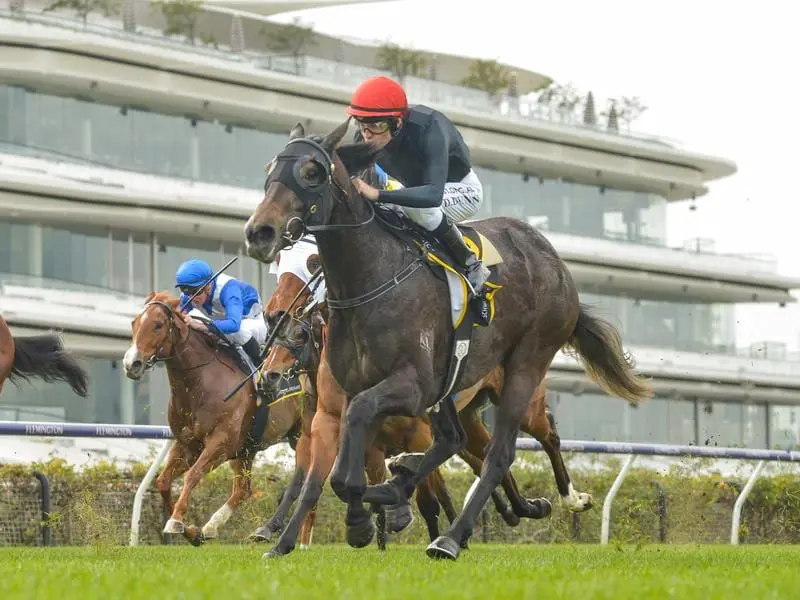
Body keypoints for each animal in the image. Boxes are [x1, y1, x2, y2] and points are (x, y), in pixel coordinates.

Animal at [122, 292, 312, 548]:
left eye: (158, 325)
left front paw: (176, 522)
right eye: (134, 323)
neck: (201, 383)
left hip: (301, 434)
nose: (131, 364)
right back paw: (212, 526)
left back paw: (303, 541)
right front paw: (191, 532)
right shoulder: (188, 444)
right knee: (242, 490)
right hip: (247, 449)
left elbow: (193, 475)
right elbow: (163, 481)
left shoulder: (222, 442)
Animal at [250, 264, 592, 560]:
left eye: (298, 333)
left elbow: (425, 496)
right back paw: (523, 508)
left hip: (525, 400)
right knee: (489, 460)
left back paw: (571, 498)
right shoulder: (332, 426)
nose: (268, 376)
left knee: (547, 435)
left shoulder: (415, 433)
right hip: (470, 418)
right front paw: (280, 540)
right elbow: (312, 485)